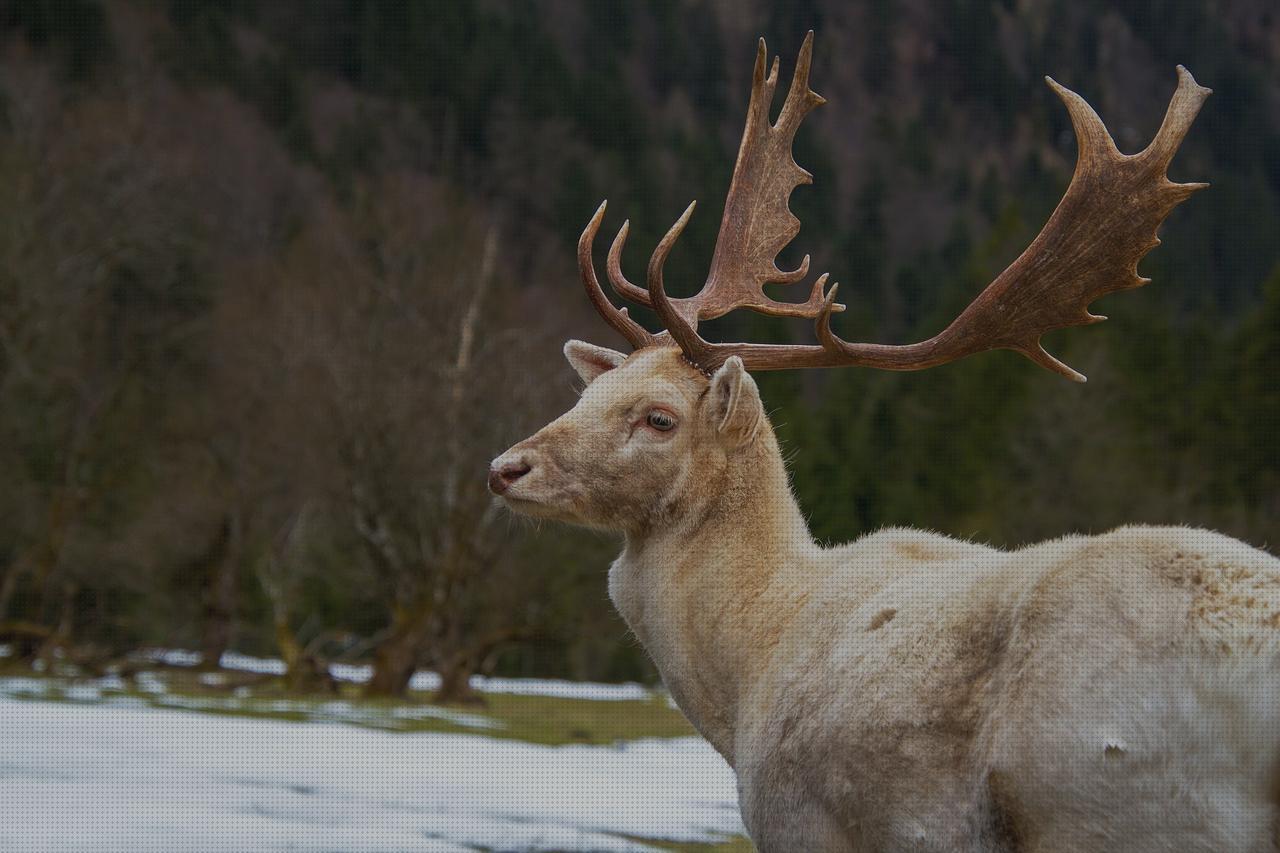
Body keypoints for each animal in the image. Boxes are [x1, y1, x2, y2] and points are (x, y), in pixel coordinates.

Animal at [486, 29, 1280, 845]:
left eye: (658, 417)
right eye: (588, 391)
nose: (506, 467)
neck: (744, 678)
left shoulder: (799, 821)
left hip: (1114, 799)